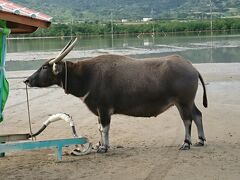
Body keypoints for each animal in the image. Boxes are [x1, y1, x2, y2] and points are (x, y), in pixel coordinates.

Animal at [24, 38, 208, 153]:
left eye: (44, 67)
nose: (27, 80)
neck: (87, 76)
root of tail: (191, 67)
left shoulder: (104, 109)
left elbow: (104, 128)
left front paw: (104, 148)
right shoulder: (100, 112)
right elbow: (100, 128)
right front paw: (101, 145)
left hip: (183, 102)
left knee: (187, 120)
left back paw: (186, 143)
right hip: (187, 102)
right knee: (198, 114)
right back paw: (200, 140)